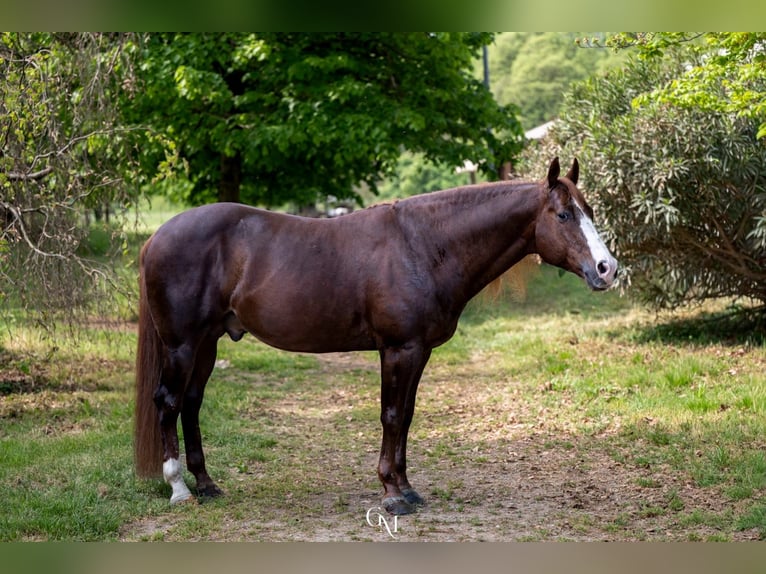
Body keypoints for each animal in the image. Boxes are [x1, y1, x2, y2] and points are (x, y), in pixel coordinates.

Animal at [134, 157, 618, 515]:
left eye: (591, 211)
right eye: (563, 214)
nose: (607, 269)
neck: (422, 246)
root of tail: (157, 237)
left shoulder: (418, 352)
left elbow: (407, 417)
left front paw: (407, 488)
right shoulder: (398, 350)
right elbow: (391, 416)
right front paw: (391, 495)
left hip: (208, 343)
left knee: (191, 404)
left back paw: (206, 484)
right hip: (182, 345)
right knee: (169, 402)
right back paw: (180, 489)